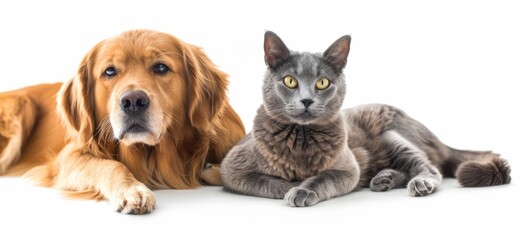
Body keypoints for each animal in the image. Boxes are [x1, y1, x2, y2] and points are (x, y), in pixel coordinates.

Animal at [221, 31, 512, 206]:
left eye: (322, 82)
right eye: (290, 81)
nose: (306, 100)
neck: (302, 138)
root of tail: (438, 139)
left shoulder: (348, 168)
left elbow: (323, 178)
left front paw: (302, 188)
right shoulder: (231, 169)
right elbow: (265, 181)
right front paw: (291, 186)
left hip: (392, 134)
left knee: (431, 168)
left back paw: (418, 183)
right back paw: (384, 179)